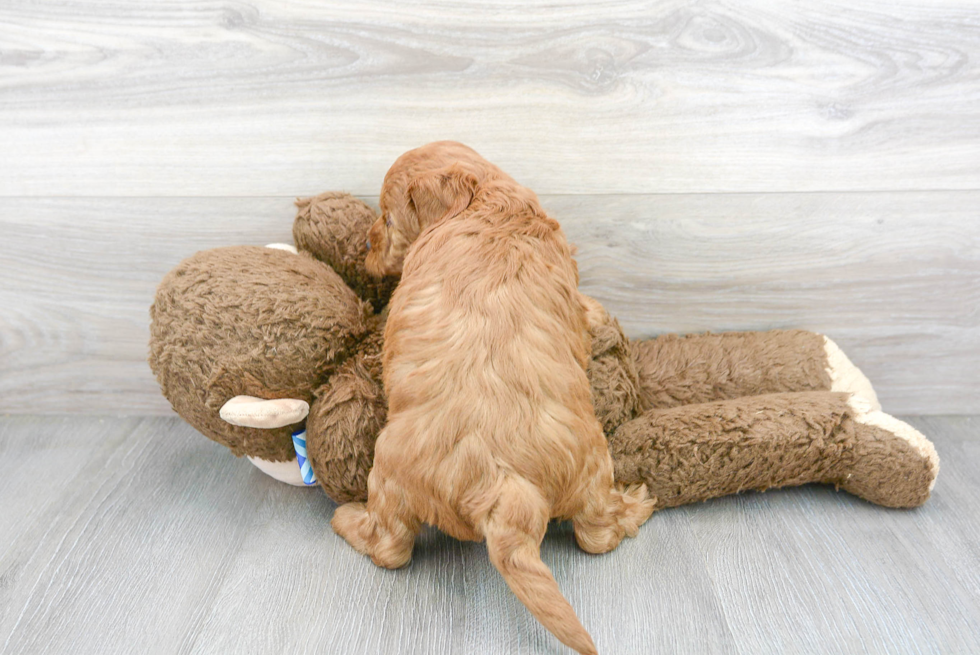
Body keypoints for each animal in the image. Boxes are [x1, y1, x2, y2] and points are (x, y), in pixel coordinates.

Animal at [334, 141, 656, 652]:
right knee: (596, 534)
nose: (365, 243)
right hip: (588, 463)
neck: (485, 201)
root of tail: (507, 486)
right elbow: (590, 311)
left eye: (386, 218)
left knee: (390, 547)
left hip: (388, 474)